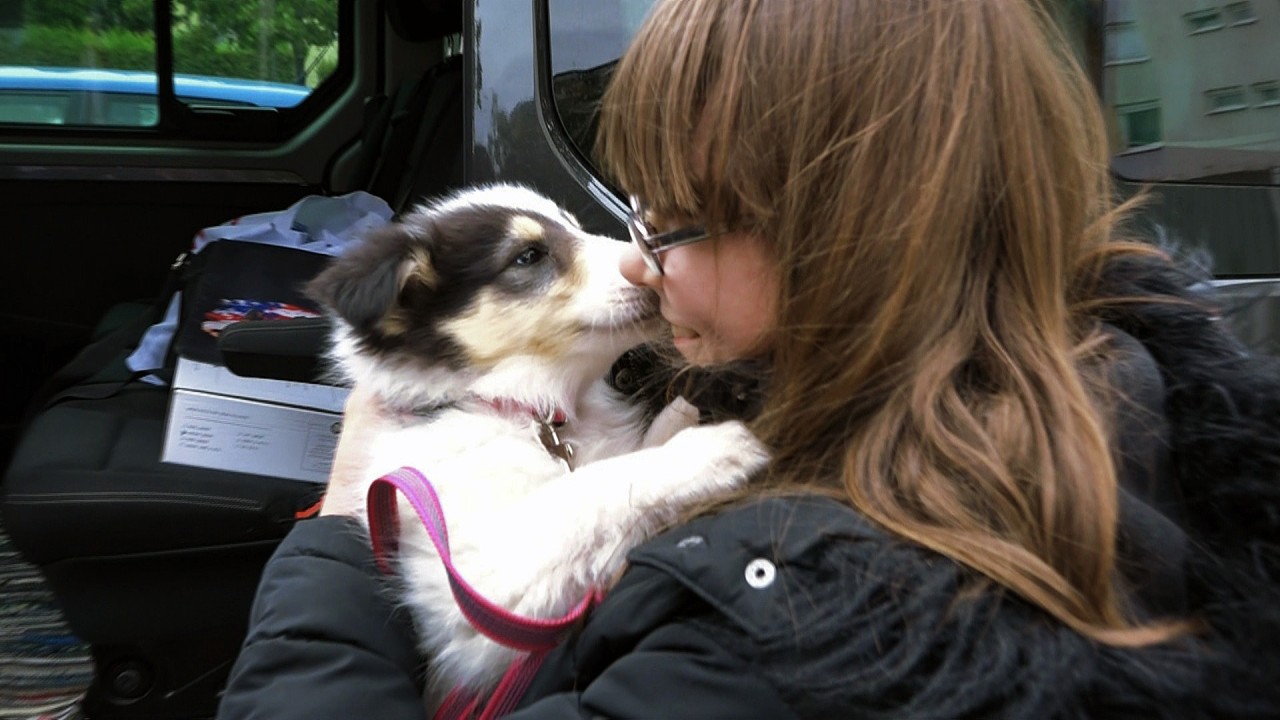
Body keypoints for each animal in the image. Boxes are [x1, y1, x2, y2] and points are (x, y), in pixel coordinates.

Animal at [307, 183, 768, 696]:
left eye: (574, 225)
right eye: (527, 257)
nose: (650, 272)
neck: (536, 416)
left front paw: (684, 411)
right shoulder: (473, 588)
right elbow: (587, 489)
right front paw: (714, 449)